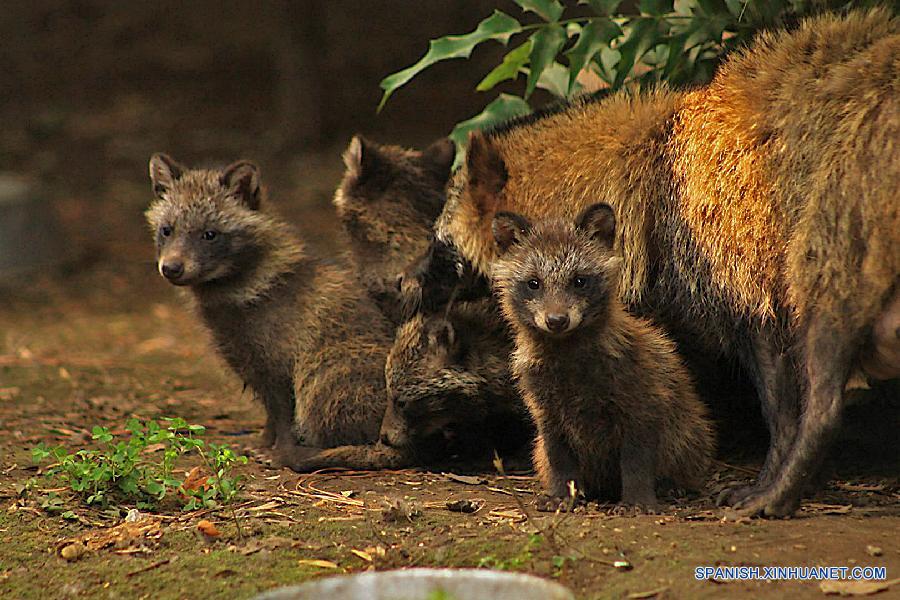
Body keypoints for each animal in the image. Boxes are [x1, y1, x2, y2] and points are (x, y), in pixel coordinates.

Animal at [146, 154, 392, 464]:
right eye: (167, 230)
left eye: (209, 235)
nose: (171, 268)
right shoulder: (249, 363)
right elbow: (270, 416)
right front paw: (264, 443)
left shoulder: (281, 364)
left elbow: (284, 418)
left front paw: (280, 451)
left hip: (325, 370)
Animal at [496, 204, 712, 508]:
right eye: (533, 283)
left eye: (579, 281)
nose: (556, 320)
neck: (568, 362)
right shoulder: (546, 414)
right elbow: (560, 461)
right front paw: (561, 496)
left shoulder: (643, 405)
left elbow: (636, 462)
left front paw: (637, 501)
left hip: (688, 433)